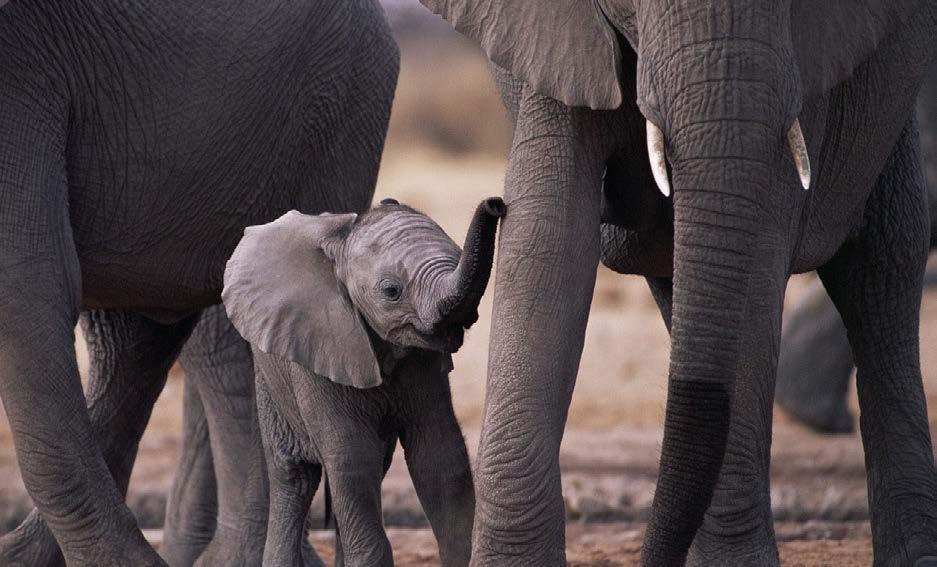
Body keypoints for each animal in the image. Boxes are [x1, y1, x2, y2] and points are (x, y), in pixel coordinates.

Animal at [221, 197, 504, 564]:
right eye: (391, 291)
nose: (496, 204)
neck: (341, 246)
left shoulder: (423, 361)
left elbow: (440, 455)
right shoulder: (320, 347)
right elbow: (352, 460)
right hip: (270, 379)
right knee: (296, 477)